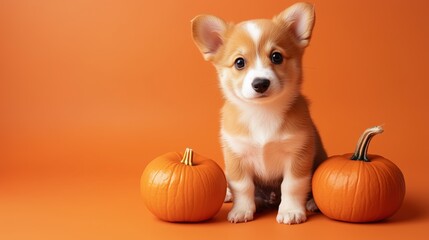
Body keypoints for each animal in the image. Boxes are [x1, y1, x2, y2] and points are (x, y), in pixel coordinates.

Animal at [191, 1, 324, 224]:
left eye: (276, 57)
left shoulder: (298, 154)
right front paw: (241, 210)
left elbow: (292, 185)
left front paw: (290, 211)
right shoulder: (236, 156)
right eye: (239, 62)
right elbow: (243, 186)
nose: (260, 83)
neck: (262, 112)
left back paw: (311, 203)